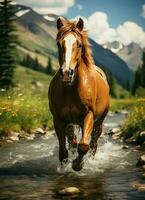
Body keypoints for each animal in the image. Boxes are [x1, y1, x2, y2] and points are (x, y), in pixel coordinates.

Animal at [48, 17, 109, 170]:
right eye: (58, 44)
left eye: (79, 44)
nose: (66, 73)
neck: (71, 88)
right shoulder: (58, 119)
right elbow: (64, 150)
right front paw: (64, 166)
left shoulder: (89, 115)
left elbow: (83, 146)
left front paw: (77, 164)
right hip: (70, 123)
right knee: (73, 141)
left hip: (98, 123)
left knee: (93, 144)